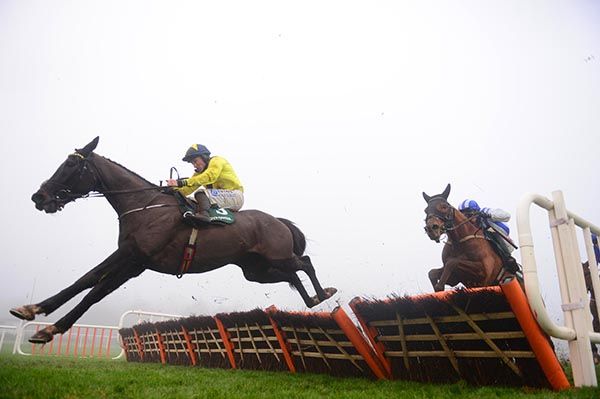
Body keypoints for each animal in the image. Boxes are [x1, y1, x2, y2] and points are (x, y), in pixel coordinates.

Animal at [9, 138, 338, 344]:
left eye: (70, 166)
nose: (40, 196)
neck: (144, 205)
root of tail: (279, 221)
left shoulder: (135, 261)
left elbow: (95, 293)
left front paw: (50, 329)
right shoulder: (126, 253)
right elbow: (85, 280)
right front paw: (31, 309)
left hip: (276, 256)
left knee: (304, 263)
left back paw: (323, 293)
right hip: (256, 271)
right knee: (291, 275)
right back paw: (312, 300)